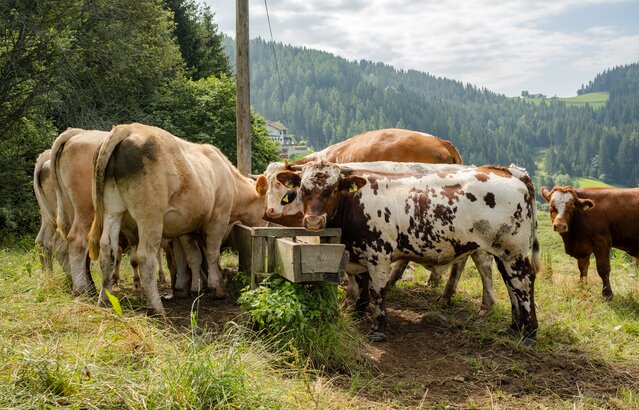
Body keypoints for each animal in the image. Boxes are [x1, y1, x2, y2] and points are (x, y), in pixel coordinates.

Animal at [87, 122, 268, 314]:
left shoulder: (186, 225)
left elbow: (192, 256)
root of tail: (127, 128)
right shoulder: (218, 219)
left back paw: (105, 300)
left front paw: (192, 288)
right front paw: (217, 287)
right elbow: (212, 253)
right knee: (144, 257)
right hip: (150, 217)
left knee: (108, 253)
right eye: (265, 206)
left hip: (112, 211)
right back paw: (156, 307)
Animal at [278, 160, 540, 342]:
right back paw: (514, 327)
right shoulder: (357, 254)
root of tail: (507, 170)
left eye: (333, 189)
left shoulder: (379, 256)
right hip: (503, 253)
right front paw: (358, 312)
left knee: (524, 281)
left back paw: (529, 332)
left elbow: (377, 291)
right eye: (303, 189)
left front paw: (379, 328)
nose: (313, 221)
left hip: (513, 250)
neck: (354, 203)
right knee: (511, 283)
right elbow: (359, 284)